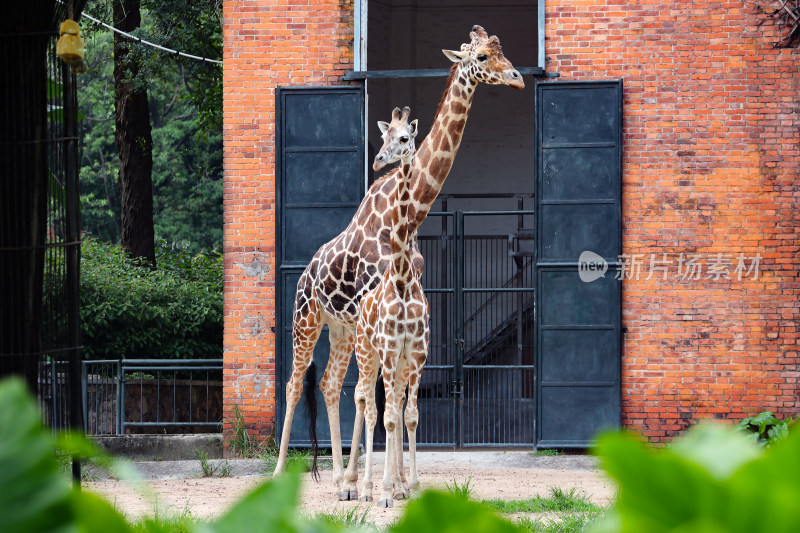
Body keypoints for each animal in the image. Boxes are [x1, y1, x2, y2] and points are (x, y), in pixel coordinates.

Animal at [276, 25, 524, 498]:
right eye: (482, 57)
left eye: (501, 49)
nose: (519, 78)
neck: (410, 213)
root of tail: (304, 275)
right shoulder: (374, 313)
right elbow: (374, 398)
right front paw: (378, 484)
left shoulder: (394, 318)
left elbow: (390, 399)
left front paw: (390, 481)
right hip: (307, 321)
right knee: (297, 384)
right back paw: (282, 473)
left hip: (339, 329)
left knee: (330, 385)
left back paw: (339, 476)